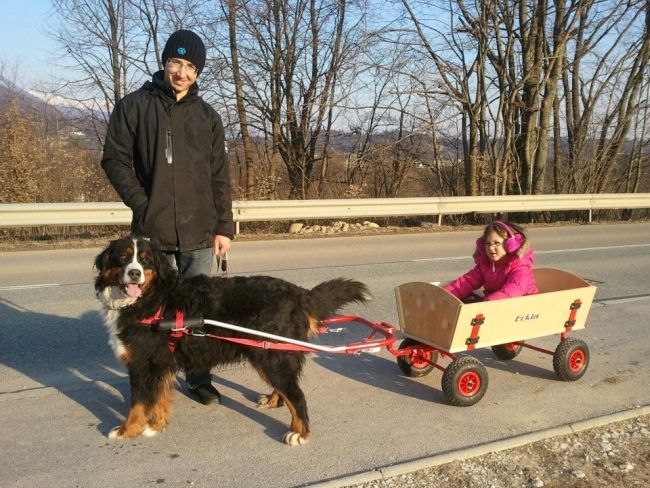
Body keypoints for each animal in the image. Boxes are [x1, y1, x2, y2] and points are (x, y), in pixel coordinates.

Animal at [95, 236, 370, 446]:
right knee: (285, 389)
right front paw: (156, 426)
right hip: (266, 352)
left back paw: (299, 433)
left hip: (271, 356)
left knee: (297, 396)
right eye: (123, 258)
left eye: (145, 260)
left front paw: (127, 430)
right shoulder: (160, 365)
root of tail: (299, 294)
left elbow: (138, 403)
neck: (151, 299)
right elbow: (159, 398)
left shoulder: (142, 363)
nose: (134, 273)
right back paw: (273, 400)